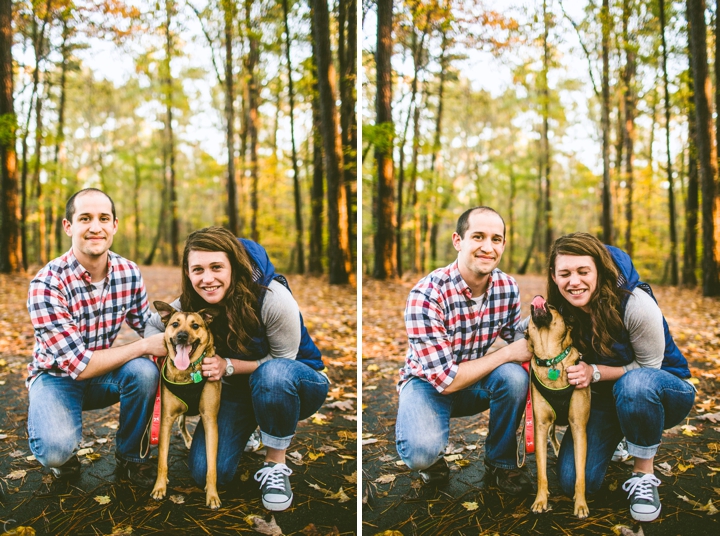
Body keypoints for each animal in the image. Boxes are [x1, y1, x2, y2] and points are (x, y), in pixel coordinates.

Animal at [150, 302, 222, 510]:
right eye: (175, 324)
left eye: (195, 325)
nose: (182, 336)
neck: (187, 373)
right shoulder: (165, 419)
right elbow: (162, 460)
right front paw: (159, 486)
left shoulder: (210, 420)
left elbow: (211, 466)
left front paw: (212, 494)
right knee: (181, 422)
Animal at [524, 296, 588, 516]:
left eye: (552, 307)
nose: (538, 297)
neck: (550, 357)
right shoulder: (540, 426)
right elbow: (541, 472)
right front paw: (540, 500)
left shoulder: (578, 427)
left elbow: (580, 474)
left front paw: (581, 504)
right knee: (552, 434)